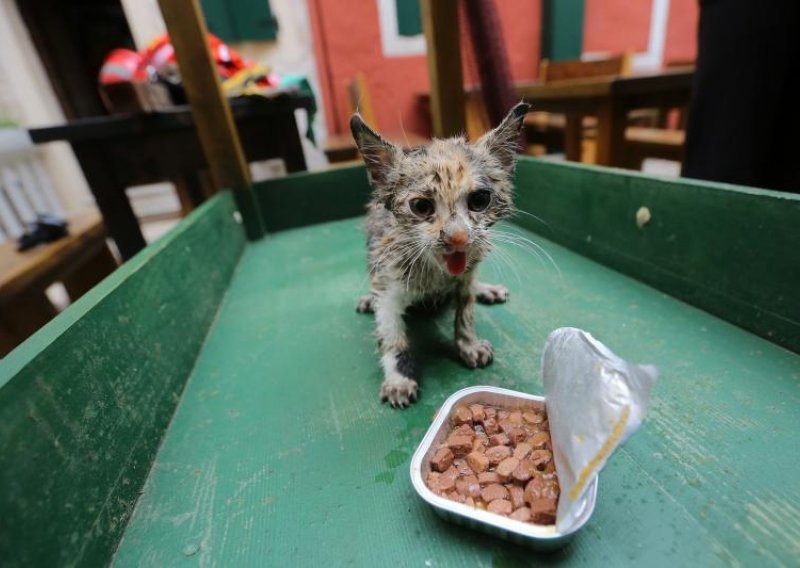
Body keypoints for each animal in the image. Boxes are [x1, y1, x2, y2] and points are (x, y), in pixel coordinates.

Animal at [352, 102, 532, 408]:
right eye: (421, 206)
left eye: (480, 200)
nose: (457, 237)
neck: (435, 275)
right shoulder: (387, 277)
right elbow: (391, 334)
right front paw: (399, 378)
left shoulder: (467, 272)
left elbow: (466, 310)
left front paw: (468, 344)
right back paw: (367, 300)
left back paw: (486, 289)